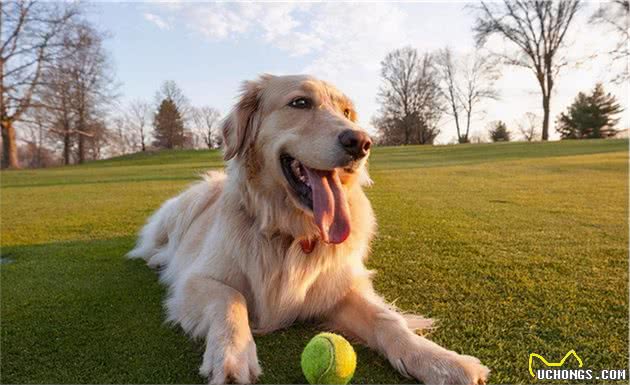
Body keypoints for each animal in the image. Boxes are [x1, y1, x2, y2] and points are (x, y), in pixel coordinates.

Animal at [130, 73, 494, 382]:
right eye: (301, 102)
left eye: (347, 111)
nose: (362, 142)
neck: (293, 234)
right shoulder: (196, 281)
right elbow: (231, 299)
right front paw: (231, 356)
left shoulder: (339, 289)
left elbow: (389, 321)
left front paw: (442, 361)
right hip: (188, 204)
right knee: (154, 245)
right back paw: (158, 258)